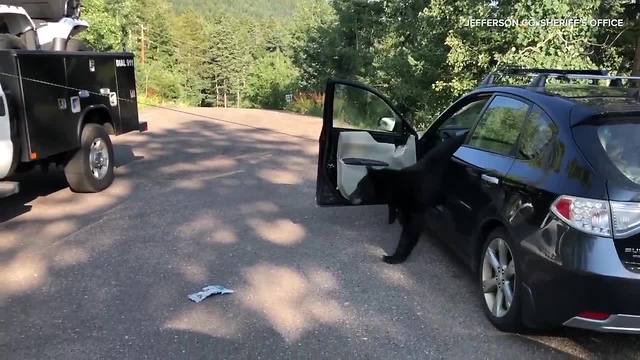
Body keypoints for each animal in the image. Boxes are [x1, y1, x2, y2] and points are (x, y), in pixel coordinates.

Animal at [350, 135, 464, 264]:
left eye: (360, 186)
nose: (349, 197)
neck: (398, 187)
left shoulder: (415, 202)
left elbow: (410, 230)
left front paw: (393, 257)